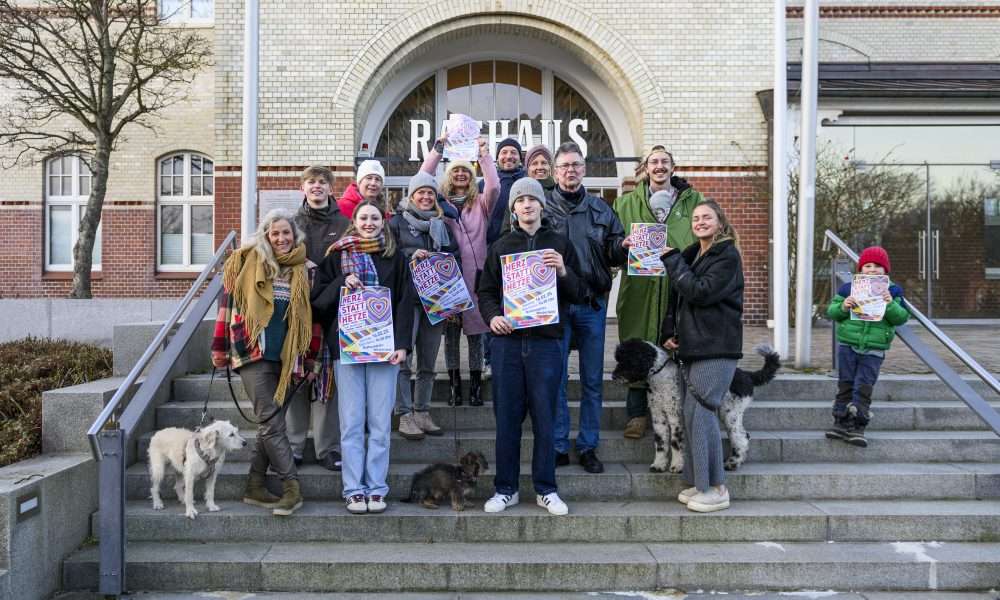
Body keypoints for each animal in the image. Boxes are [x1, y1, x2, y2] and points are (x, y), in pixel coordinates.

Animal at [608, 342, 780, 474]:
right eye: (619, 359)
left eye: (627, 359)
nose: (613, 376)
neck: (662, 378)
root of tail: (747, 376)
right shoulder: (658, 417)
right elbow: (661, 443)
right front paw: (658, 465)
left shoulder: (675, 415)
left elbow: (675, 442)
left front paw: (677, 466)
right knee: (744, 435)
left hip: (730, 413)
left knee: (741, 437)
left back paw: (732, 463)